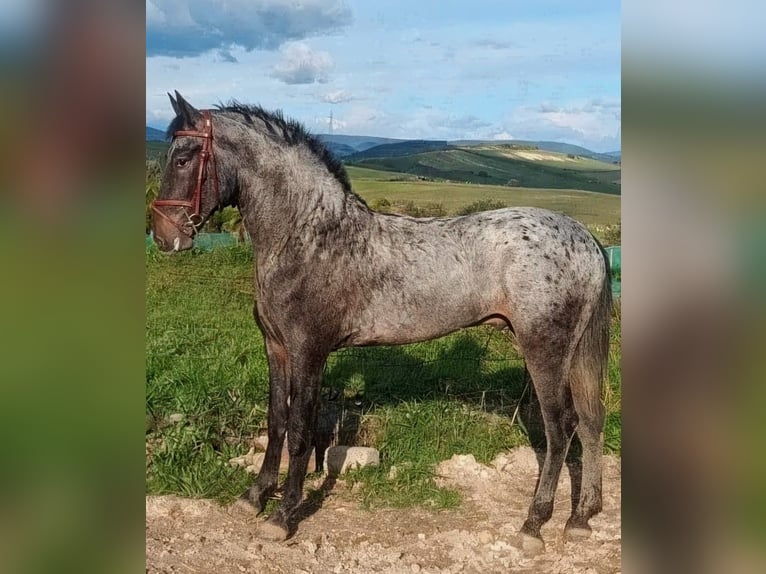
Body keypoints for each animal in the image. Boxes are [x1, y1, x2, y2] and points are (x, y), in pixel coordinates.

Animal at [151, 91, 612, 553]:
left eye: (183, 159)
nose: (163, 236)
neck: (309, 235)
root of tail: (585, 238)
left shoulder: (308, 352)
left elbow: (300, 430)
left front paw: (282, 516)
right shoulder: (276, 348)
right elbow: (277, 421)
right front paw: (254, 497)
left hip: (544, 350)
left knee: (561, 429)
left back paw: (534, 524)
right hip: (573, 355)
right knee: (590, 422)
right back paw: (581, 517)